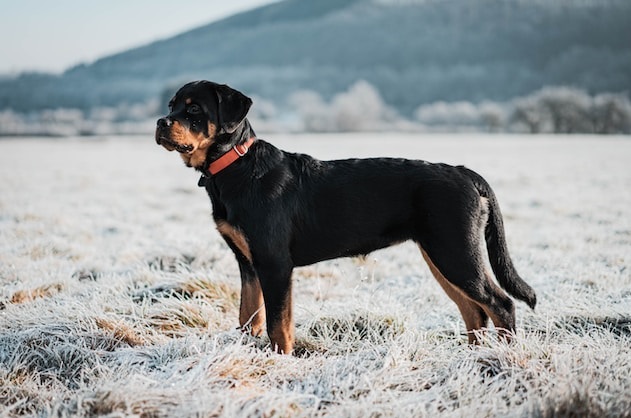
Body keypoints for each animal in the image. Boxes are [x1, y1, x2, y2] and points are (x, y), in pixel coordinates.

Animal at [156, 81, 536, 352]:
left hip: (456, 252)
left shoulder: (274, 262)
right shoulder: (248, 263)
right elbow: (249, 315)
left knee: (500, 304)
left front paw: (280, 361)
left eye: (194, 109)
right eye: (171, 105)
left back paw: (504, 358)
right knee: (474, 311)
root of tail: (464, 172)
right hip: (442, 256)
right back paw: (474, 358)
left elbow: (279, 324)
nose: (161, 121)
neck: (235, 166)